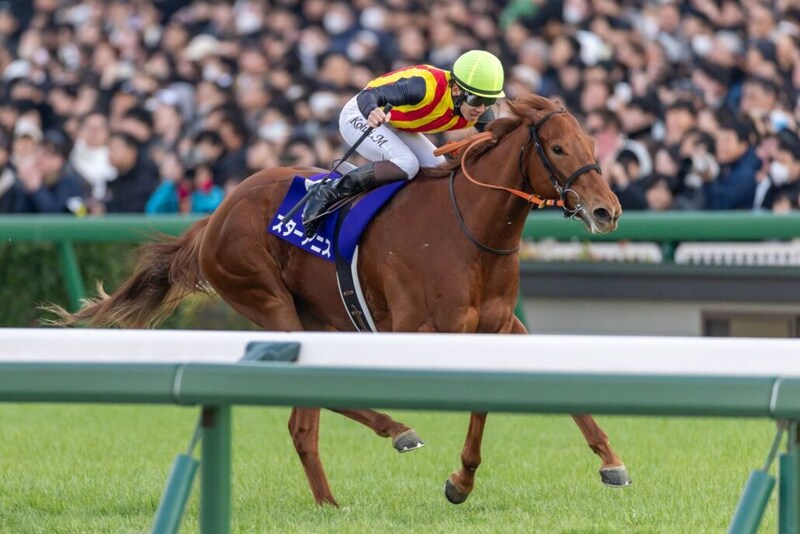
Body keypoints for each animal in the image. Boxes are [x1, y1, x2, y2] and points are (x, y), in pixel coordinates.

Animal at [49, 94, 628, 506]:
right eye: (558, 149)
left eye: (592, 145)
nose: (607, 211)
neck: (470, 227)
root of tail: (215, 215)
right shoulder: (420, 332)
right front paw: (460, 481)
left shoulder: (503, 327)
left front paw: (610, 462)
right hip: (269, 300)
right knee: (301, 412)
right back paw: (353, 476)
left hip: (318, 317)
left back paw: (371, 457)